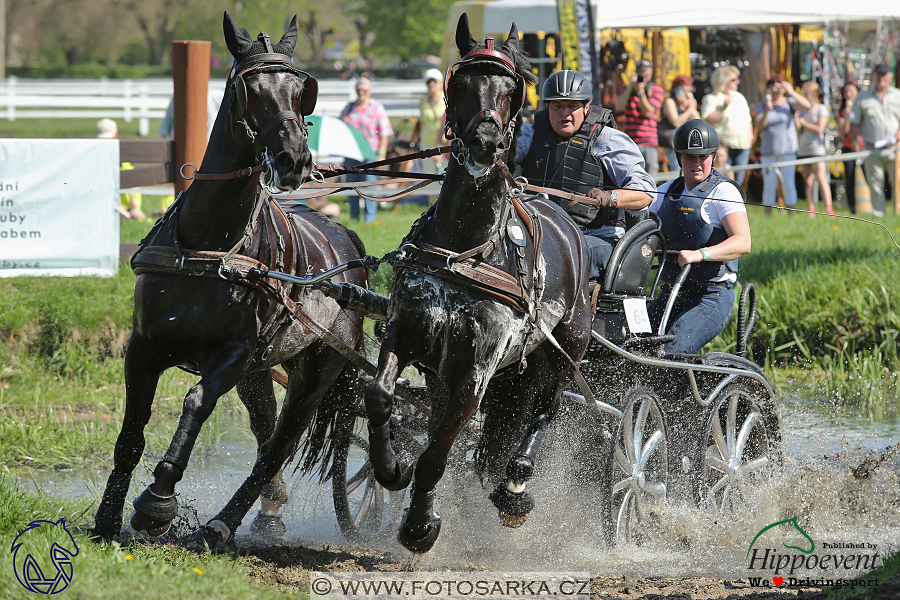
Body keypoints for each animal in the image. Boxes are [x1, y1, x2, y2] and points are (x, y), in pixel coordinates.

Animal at [90, 12, 366, 544]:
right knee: (265, 430)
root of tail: (347, 240)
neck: (207, 244)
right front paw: (107, 519)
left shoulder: (234, 354)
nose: (295, 159)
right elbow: (131, 431)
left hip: (315, 372)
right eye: (249, 88)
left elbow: (196, 402)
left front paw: (158, 502)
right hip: (262, 371)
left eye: (301, 89)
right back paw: (267, 511)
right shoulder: (144, 346)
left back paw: (221, 524)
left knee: (278, 445)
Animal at [362, 14, 596, 556]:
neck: (465, 249)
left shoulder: (477, 370)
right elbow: (381, 397)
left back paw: (515, 486)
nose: (486, 143)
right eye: (462, 82)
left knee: (545, 410)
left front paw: (420, 526)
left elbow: (437, 453)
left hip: (565, 350)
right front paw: (391, 469)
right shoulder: (407, 333)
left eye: (513, 88)